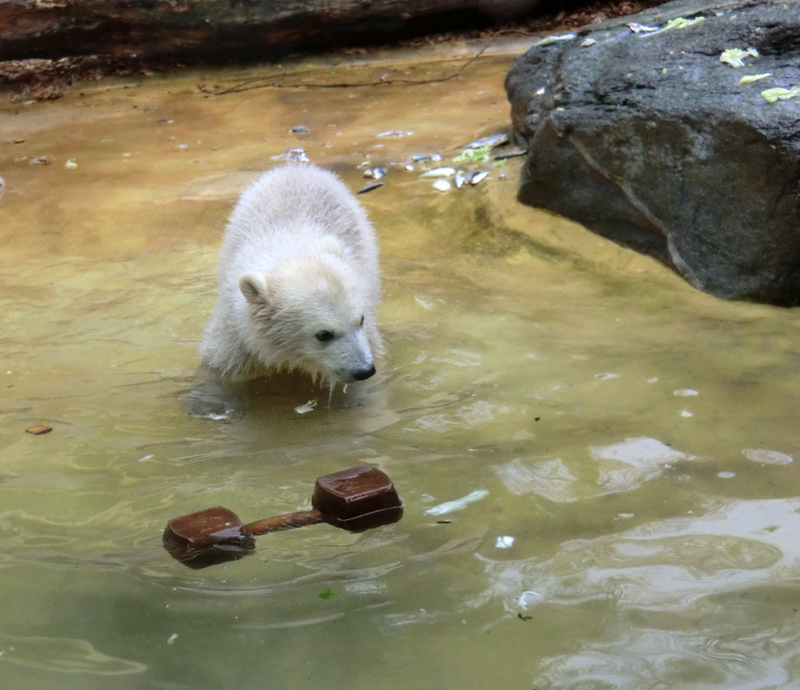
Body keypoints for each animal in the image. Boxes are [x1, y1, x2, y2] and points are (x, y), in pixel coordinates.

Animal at [199, 163, 383, 394]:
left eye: (361, 319)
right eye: (324, 334)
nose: (364, 370)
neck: (292, 248)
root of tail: (298, 168)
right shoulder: (236, 336)